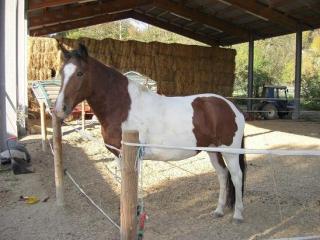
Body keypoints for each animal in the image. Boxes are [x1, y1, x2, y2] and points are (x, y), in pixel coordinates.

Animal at [54, 43, 248, 223]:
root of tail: (231, 107)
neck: (123, 106)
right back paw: (219, 210)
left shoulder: (131, 156)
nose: (59, 109)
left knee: (236, 176)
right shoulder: (119, 156)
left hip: (230, 151)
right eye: (61, 73)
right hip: (213, 150)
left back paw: (238, 215)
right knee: (223, 175)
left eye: (80, 73)